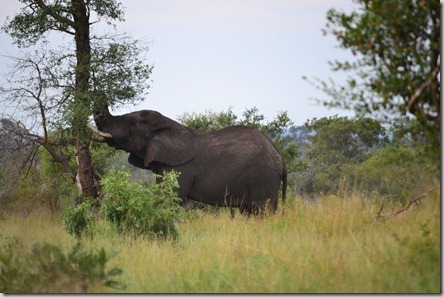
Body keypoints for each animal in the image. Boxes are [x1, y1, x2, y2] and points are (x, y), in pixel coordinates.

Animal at [93, 108, 288, 215]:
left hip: (263, 176)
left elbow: (169, 197)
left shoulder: (181, 168)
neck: (168, 126)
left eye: (133, 124)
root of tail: (280, 155)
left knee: (262, 210)